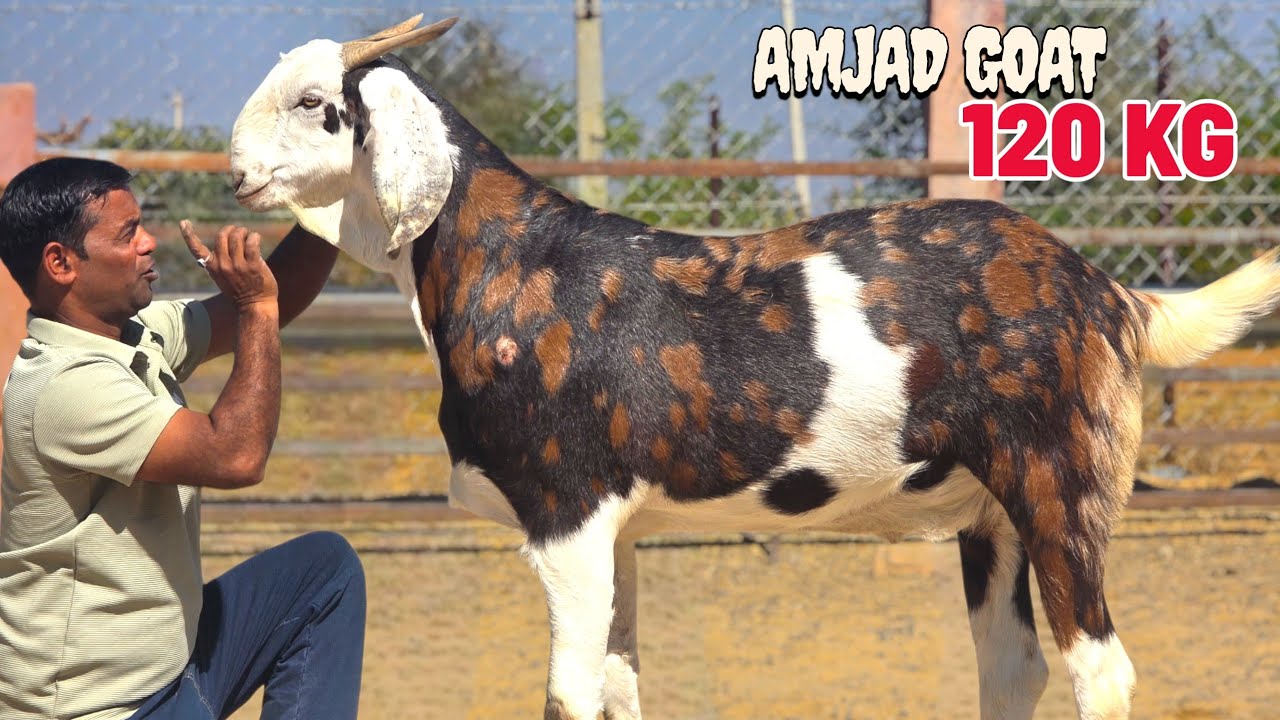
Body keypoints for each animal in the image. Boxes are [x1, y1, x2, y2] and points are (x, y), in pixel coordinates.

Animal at [228, 16, 1280, 720]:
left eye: (317, 104)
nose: (235, 171)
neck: (510, 262)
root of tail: (1109, 292)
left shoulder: (566, 515)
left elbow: (568, 695)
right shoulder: (618, 529)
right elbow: (618, 687)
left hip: (1061, 483)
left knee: (1099, 669)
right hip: (992, 513)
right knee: (1012, 666)